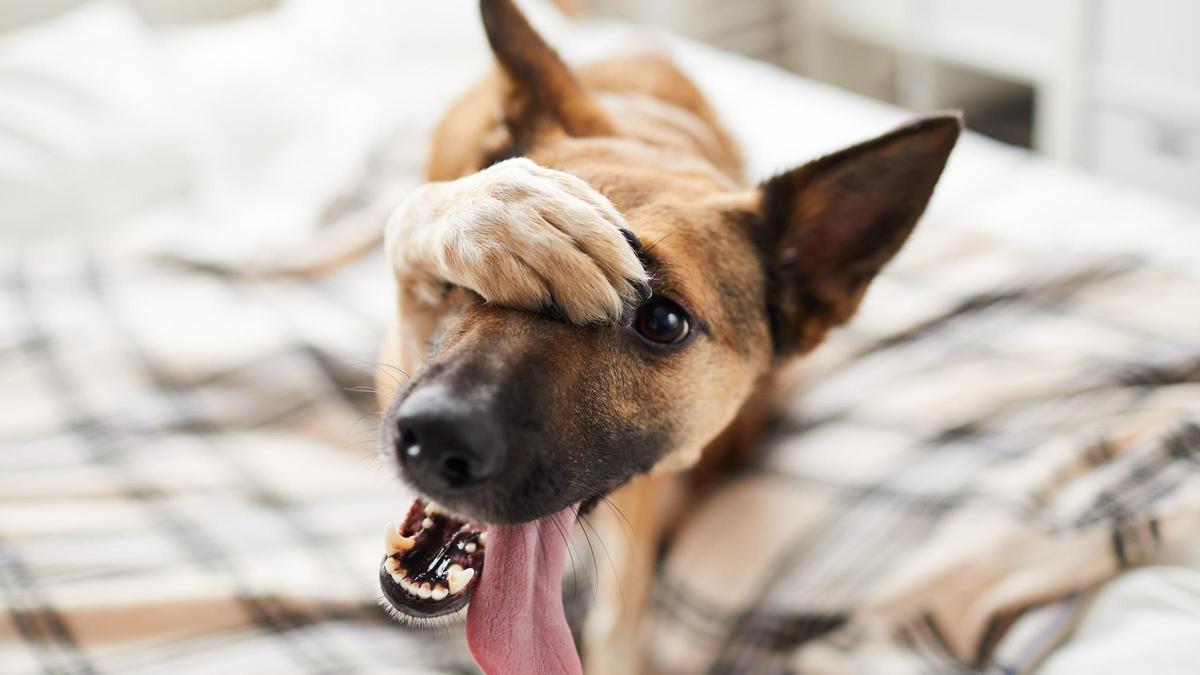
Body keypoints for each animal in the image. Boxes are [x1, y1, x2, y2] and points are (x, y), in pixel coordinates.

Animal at [374, 2, 955, 667]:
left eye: (664, 322)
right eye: (476, 277)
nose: (436, 435)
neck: (660, 144)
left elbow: (618, 622)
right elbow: (422, 219)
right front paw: (500, 212)